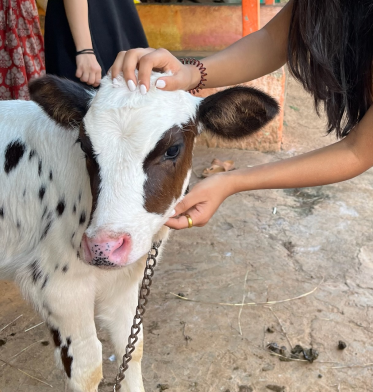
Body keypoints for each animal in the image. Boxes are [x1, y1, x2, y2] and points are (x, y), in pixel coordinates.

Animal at [0, 72, 278, 390]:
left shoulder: (124, 281)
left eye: (172, 149)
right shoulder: (58, 288)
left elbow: (131, 347)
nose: (103, 247)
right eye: (84, 147)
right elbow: (87, 368)